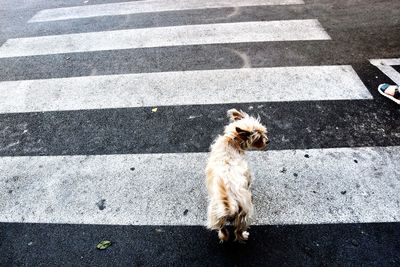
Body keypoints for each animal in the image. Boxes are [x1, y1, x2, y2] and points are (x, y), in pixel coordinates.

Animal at [206, 109, 268, 243]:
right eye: (258, 138)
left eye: (263, 131)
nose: (268, 141)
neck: (231, 140)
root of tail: (229, 207)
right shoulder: (247, 174)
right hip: (245, 215)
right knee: (238, 232)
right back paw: (244, 235)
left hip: (216, 215)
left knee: (223, 230)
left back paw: (223, 237)